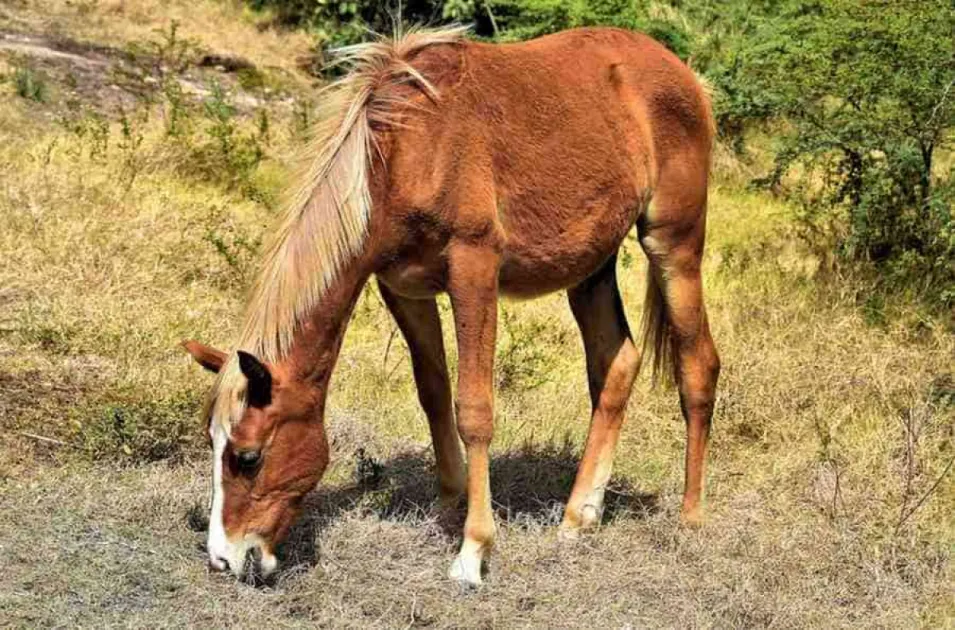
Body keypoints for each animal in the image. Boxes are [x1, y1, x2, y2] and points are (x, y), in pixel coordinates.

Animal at [182, 25, 720, 586]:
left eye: (247, 457)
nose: (225, 558)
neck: (407, 151)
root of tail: (688, 79)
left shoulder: (474, 268)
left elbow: (474, 409)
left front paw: (472, 550)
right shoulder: (404, 287)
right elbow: (434, 392)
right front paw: (447, 506)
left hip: (673, 245)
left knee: (697, 366)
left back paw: (690, 517)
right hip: (591, 268)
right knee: (616, 365)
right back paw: (579, 518)